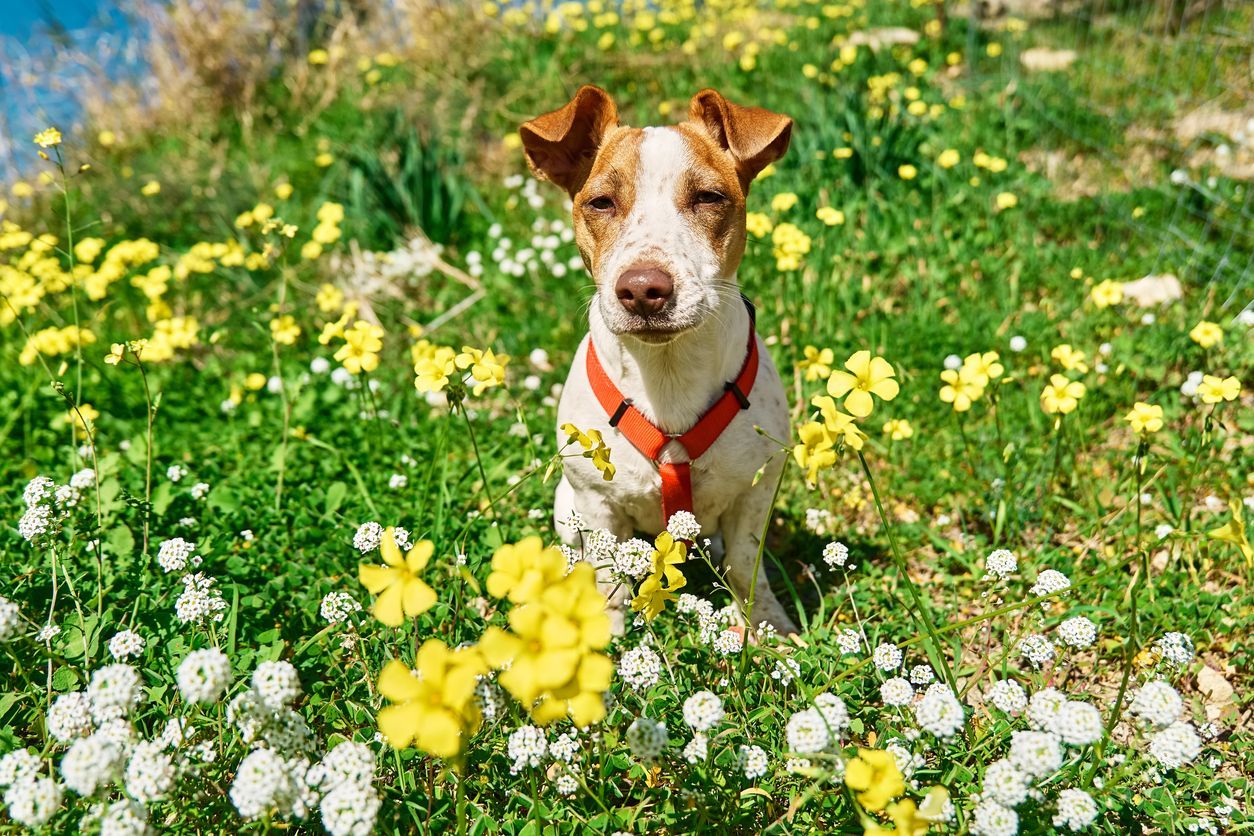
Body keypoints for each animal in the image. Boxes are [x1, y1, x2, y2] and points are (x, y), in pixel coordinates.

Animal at [521, 85, 797, 634]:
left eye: (709, 197)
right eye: (600, 202)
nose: (643, 289)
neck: (667, 372)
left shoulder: (755, 494)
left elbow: (745, 566)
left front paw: (765, 629)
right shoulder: (598, 506)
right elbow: (608, 580)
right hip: (567, 507)